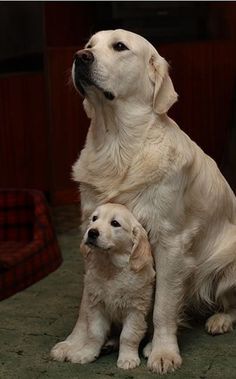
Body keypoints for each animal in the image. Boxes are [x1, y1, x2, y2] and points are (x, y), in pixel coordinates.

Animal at [51, 203, 155, 370]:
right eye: (94, 218)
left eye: (115, 223)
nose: (92, 232)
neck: (110, 267)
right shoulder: (97, 306)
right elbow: (95, 333)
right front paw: (86, 353)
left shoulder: (135, 310)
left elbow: (129, 335)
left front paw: (128, 358)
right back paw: (108, 344)